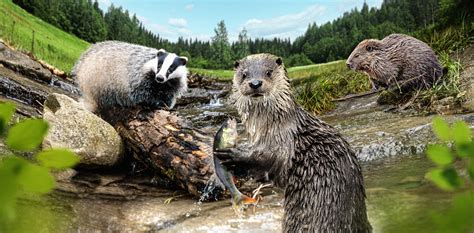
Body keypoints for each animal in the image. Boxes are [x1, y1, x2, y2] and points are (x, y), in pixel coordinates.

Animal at [217, 53, 372, 232]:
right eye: (244, 74)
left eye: (268, 72)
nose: (255, 83)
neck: (274, 126)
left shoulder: (283, 143)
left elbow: (268, 159)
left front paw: (234, 155)